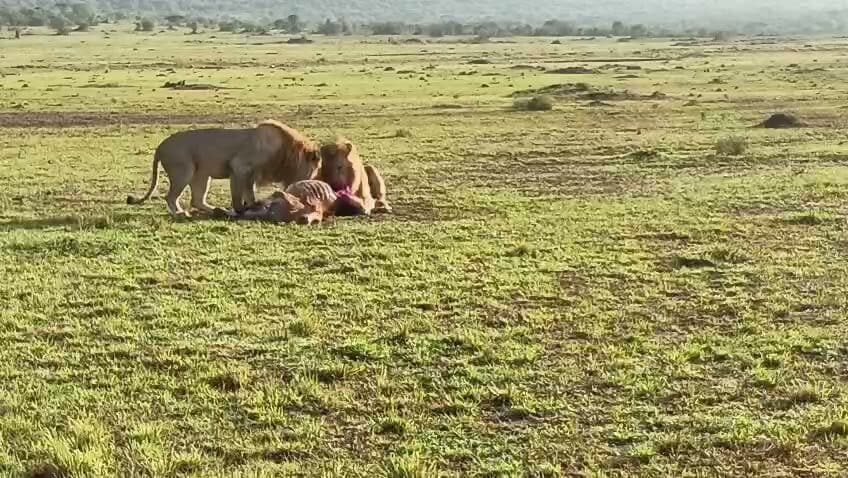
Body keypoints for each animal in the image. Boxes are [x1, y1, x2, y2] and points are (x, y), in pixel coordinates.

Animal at [126, 120, 322, 218]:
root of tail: (160, 147)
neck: (287, 152)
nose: (310, 183)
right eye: (313, 171)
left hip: (202, 175)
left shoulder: (250, 174)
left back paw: (217, 210)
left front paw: (249, 205)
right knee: (171, 197)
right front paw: (240, 209)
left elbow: (249, 192)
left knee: (196, 200)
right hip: (184, 170)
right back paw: (181, 213)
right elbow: (238, 194)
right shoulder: (239, 166)